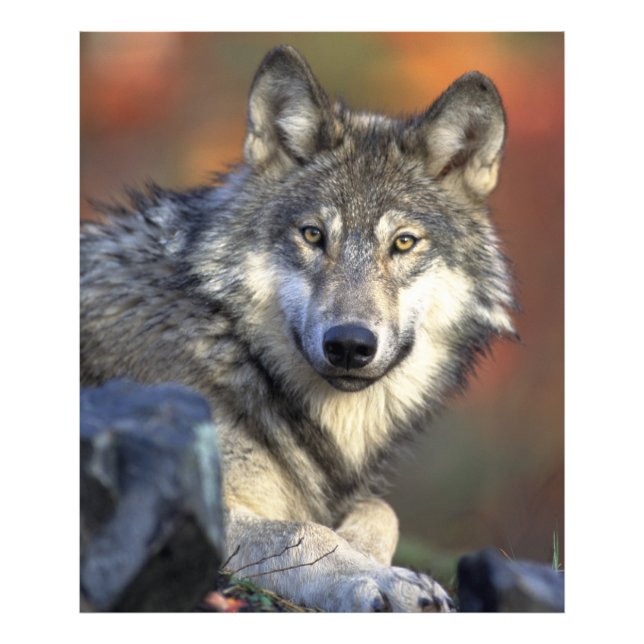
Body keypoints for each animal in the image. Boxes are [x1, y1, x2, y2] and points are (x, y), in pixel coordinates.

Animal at [80, 45, 516, 612]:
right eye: (313, 235)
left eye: (403, 242)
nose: (349, 345)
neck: (233, 347)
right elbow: (305, 532)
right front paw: (383, 579)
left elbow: (381, 510)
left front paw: (370, 555)